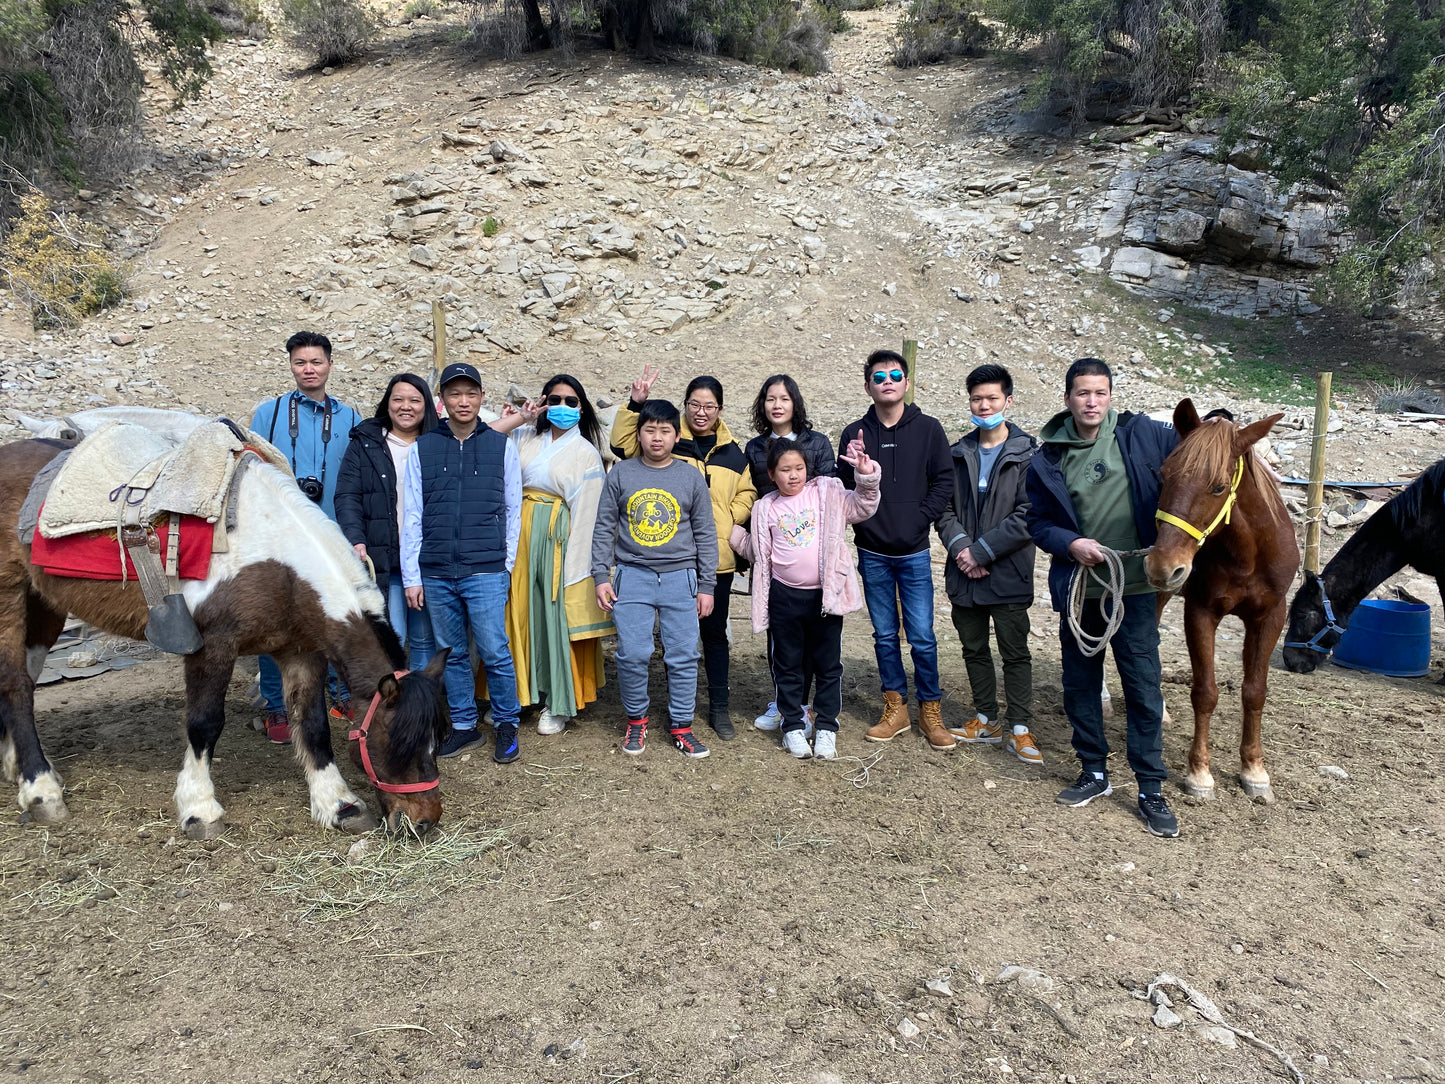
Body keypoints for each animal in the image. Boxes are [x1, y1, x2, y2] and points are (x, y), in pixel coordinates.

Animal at [0, 439, 450, 838]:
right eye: (399, 743)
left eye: (438, 739)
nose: (425, 821)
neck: (277, 562)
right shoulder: (212, 646)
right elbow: (204, 724)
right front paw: (199, 807)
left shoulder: (301, 650)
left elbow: (313, 723)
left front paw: (339, 804)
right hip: (10, 599)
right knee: (16, 685)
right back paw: (40, 788)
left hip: (45, 604)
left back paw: (16, 766)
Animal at [1144, 401, 1306, 809]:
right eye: (1164, 475)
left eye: (1218, 486)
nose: (1163, 566)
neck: (1248, 554)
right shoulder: (1201, 611)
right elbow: (1205, 693)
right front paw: (1199, 773)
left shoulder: (1269, 617)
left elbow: (1254, 691)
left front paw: (1254, 769)